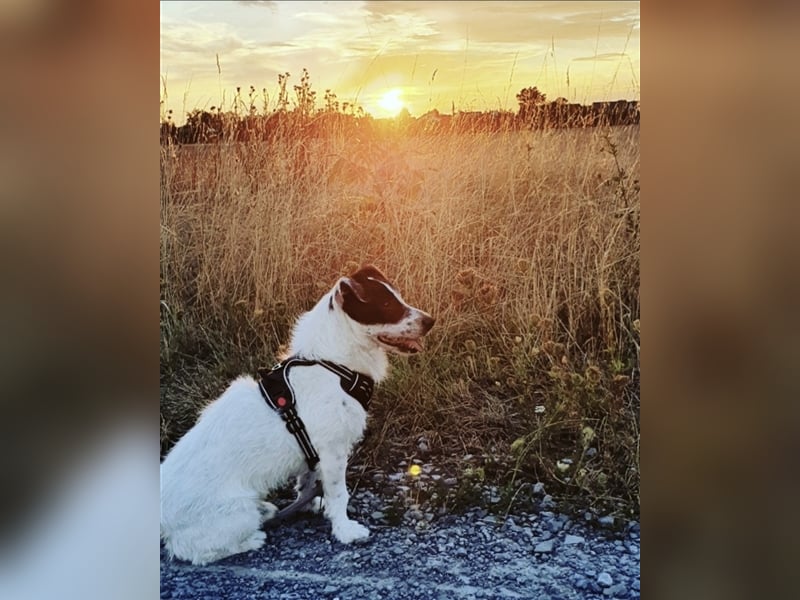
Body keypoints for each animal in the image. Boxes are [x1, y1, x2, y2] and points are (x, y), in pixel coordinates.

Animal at [158, 264, 432, 564]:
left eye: (397, 296)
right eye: (385, 304)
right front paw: (344, 529)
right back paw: (253, 538)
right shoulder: (333, 452)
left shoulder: (314, 453)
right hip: (237, 514)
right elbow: (339, 494)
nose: (430, 321)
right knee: (193, 550)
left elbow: (308, 481)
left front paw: (311, 504)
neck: (334, 364)